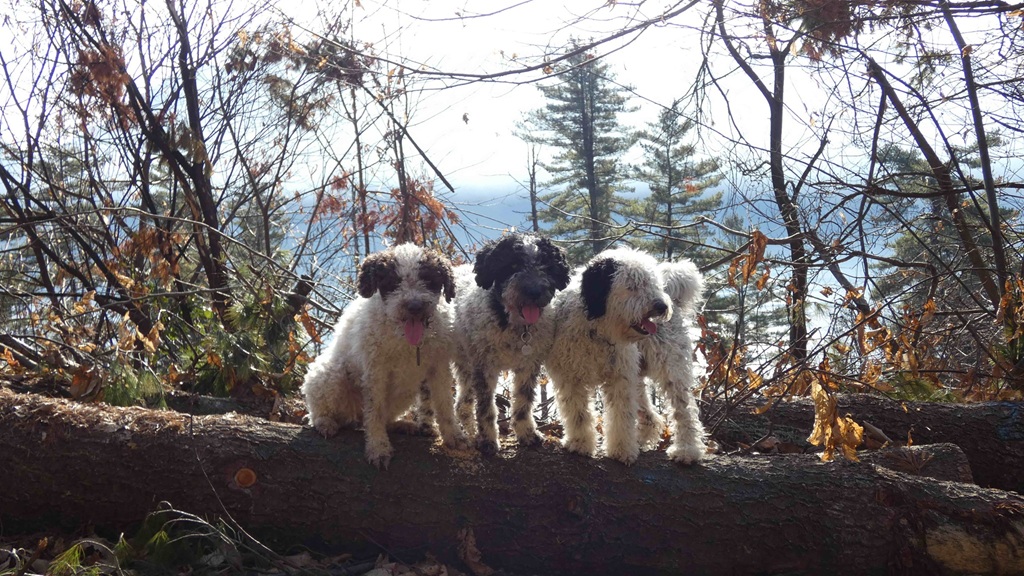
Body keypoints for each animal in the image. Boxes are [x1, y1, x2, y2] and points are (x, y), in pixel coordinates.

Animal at [301, 243, 469, 469]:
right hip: (330, 375)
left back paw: (402, 425)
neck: (407, 341)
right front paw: (378, 447)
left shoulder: (439, 367)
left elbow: (444, 404)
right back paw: (325, 422)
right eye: (393, 282)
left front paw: (454, 436)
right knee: (320, 411)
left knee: (385, 418)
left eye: (428, 279)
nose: (414, 307)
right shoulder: (375, 372)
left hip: (405, 391)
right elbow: (375, 412)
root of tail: (354, 415)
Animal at [452, 233, 571, 455]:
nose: (534, 291)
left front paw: (526, 433)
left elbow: (523, 403)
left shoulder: (528, 366)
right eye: (513, 265)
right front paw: (488, 440)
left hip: (467, 366)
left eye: (545, 266)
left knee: (463, 405)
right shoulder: (485, 368)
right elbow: (487, 408)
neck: (515, 326)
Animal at [545, 247, 673, 465]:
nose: (662, 306)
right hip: (638, 378)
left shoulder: (620, 378)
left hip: (671, 370)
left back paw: (689, 451)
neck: (598, 330)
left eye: (653, 283)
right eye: (632, 285)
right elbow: (578, 413)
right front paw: (580, 443)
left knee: (686, 414)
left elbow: (622, 415)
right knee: (650, 414)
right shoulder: (571, 377)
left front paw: (622, 449)